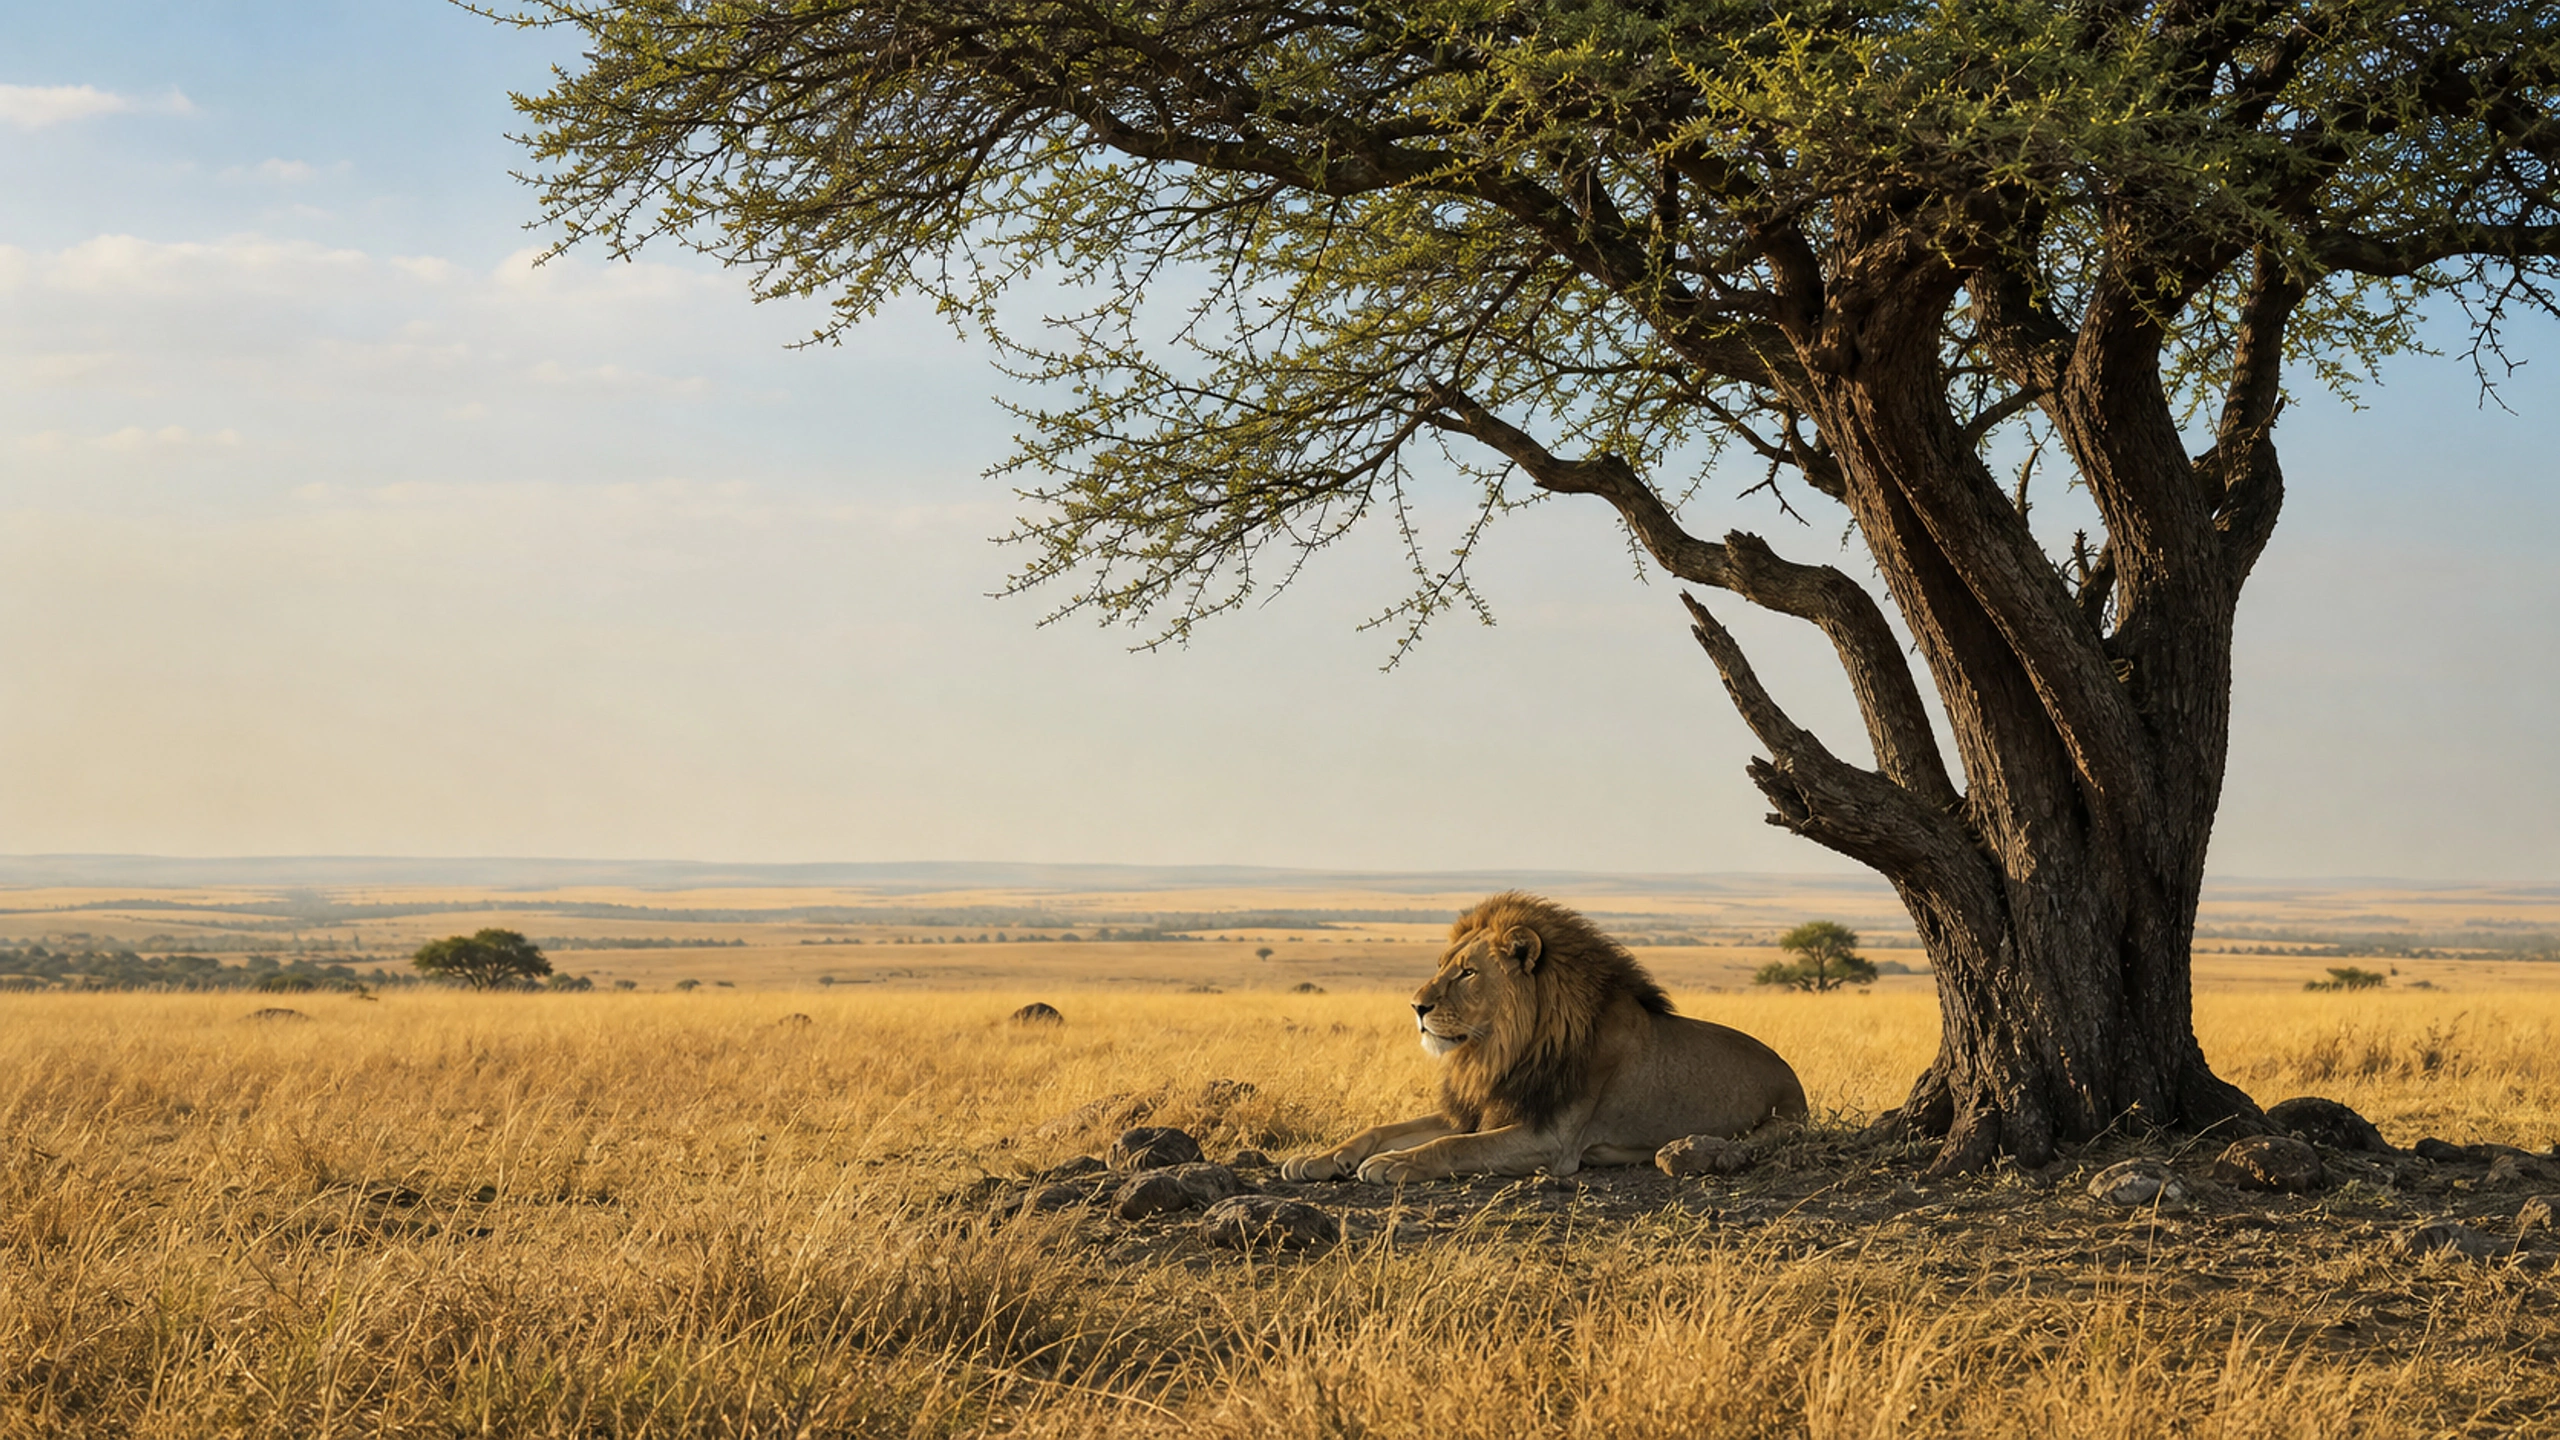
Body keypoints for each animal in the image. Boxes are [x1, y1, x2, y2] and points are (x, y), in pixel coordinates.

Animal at [1281, 892, 1808, 1184]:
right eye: (1441, 966)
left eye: (1467, 972)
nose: (1416, 1007)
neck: (1498, 1049)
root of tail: (1791, 1072)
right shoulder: (1476, 1112)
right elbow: (1382, 1129)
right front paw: (1318, 1159)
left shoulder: (1551, 1139)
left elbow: (1451, 1147)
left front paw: (1392, 1164)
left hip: (1780, 1126)